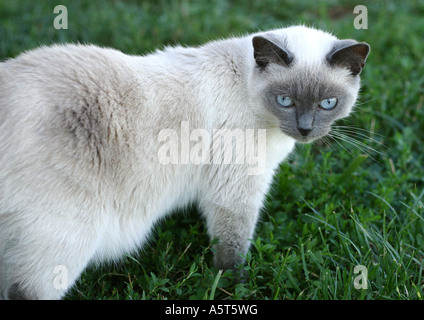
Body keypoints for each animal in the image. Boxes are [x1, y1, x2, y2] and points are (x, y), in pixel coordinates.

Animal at [0, 25, 370, 300]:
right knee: (25, 291)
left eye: (328, 103)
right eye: (285, 100)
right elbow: (232, 250)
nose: (306, 130)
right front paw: (236, 288)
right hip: (67, 238)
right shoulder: (236, 192)